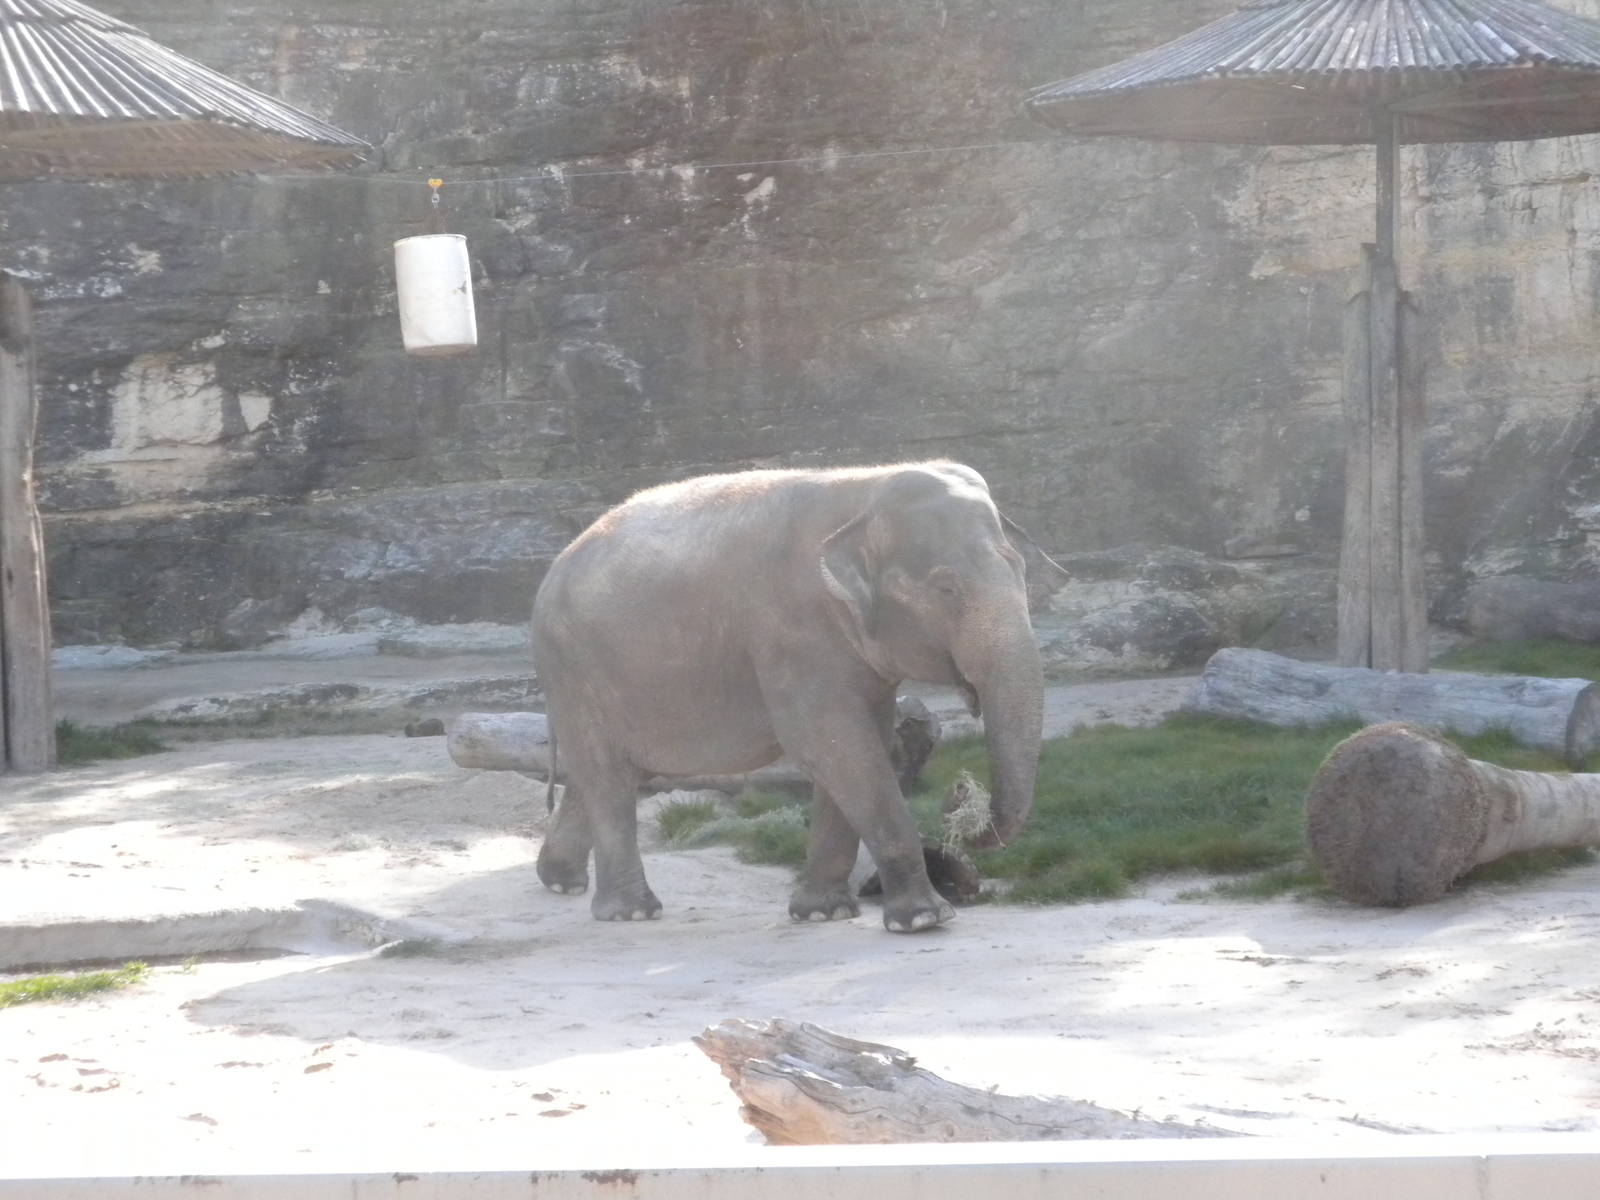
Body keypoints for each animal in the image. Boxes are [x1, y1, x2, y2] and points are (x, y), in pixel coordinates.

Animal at [530, 461, 1045, 933]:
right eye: (946, 588)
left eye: (1021, 569)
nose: (959, 796)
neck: (866, 489)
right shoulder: (792, 631)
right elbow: (832, 744)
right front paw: (923, 920)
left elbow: (862, 742)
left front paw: (823, 913)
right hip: (574, 668)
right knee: (607, 774)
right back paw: (631, 913)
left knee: (609, 772)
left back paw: (561, 881)